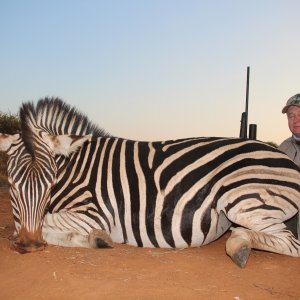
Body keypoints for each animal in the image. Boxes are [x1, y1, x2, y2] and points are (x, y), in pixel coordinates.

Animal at [0, 98, 300, 268]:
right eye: (11, 185)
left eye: (50, 185)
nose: (29, 246)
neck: (77, 166)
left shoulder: (95, 214)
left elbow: (41, 223)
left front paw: (97, 238)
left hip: (243, 200)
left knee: (291, 243)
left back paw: (238, 245)